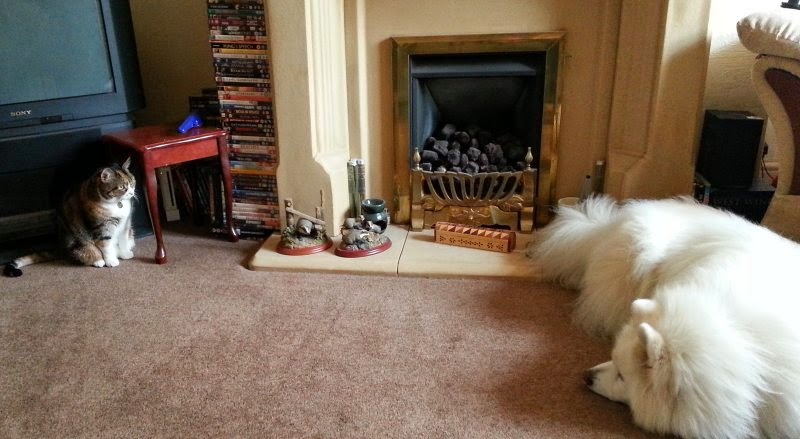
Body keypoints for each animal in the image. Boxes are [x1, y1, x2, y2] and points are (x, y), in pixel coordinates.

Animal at [3, 157, 137, 277]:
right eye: (122, 187)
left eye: (132, 183)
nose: (131, 193)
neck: (117, 204)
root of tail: (61, 246)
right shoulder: (101, 228)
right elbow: (106, 246)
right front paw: (111, 261)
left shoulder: (125, 225)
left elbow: (123, 240)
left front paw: (125, 254)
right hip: (81, 244)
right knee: (89, 252)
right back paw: (99, 260)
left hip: (131, 235)